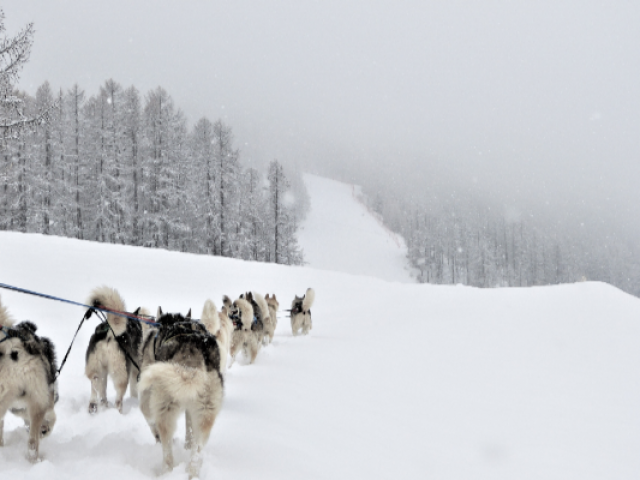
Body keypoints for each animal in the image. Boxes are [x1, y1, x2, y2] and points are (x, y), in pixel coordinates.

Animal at [0, 296, 58, 462]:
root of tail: (12, 350)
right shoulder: (44, 402)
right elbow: (52, 418)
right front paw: (45, 429)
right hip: (37, 401)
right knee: (33, 442)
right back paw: (36, 459)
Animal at [84, 286, 142, 414]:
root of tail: (110, 334)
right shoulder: (135, 368)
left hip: (98, 370)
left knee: (96, 389)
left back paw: (97, 406)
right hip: (121, 375)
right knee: (118, 401)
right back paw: (118, 413)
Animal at [139, 310, 224, 478]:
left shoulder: (146, 396)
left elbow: (147, 414)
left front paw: (156, 436)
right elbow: (189, 430)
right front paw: (187, 445)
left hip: (165, 407)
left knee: (167, 453)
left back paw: (166, 473)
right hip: (205, 412)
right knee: (196, 453)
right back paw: (192, 473)